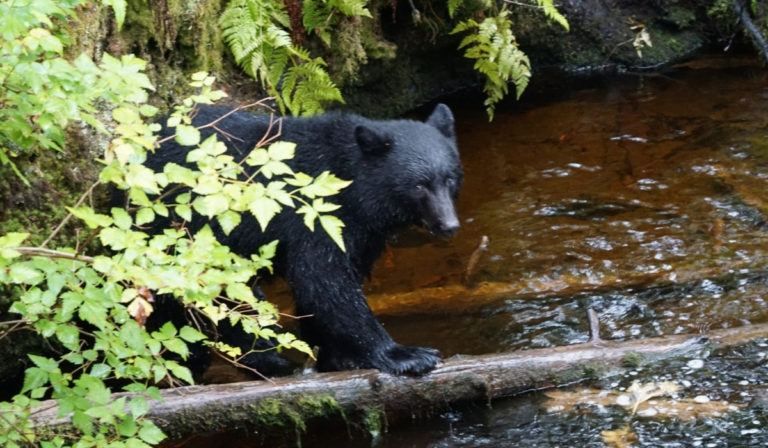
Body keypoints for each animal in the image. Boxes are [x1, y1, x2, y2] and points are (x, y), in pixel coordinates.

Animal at [147, 104, 464, 374]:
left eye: (449, 178)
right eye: (419, 185)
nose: (449, 225)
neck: (350, 181)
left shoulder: (361, 234)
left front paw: (336, 355)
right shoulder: (314, 215)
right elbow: (324, 280)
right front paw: (405, 355)